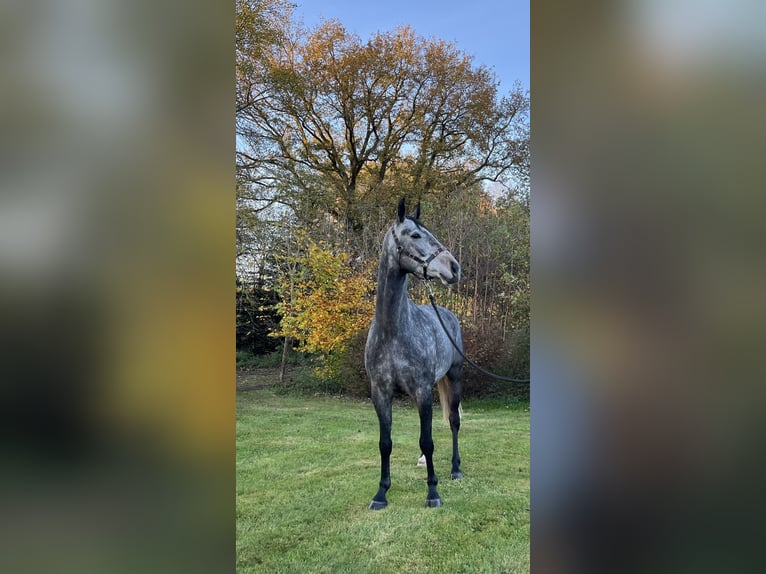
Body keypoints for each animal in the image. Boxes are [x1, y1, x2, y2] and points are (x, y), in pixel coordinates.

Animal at [368, 200, 468, 510]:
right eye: (414, 235)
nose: (454, 267)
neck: (393, 330)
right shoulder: (381, 393)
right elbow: (385, 443)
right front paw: (381, 493)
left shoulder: (422, 391)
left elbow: (428, 440)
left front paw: (433, 492)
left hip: (454, 378)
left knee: (454, 422)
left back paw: (455, 469)